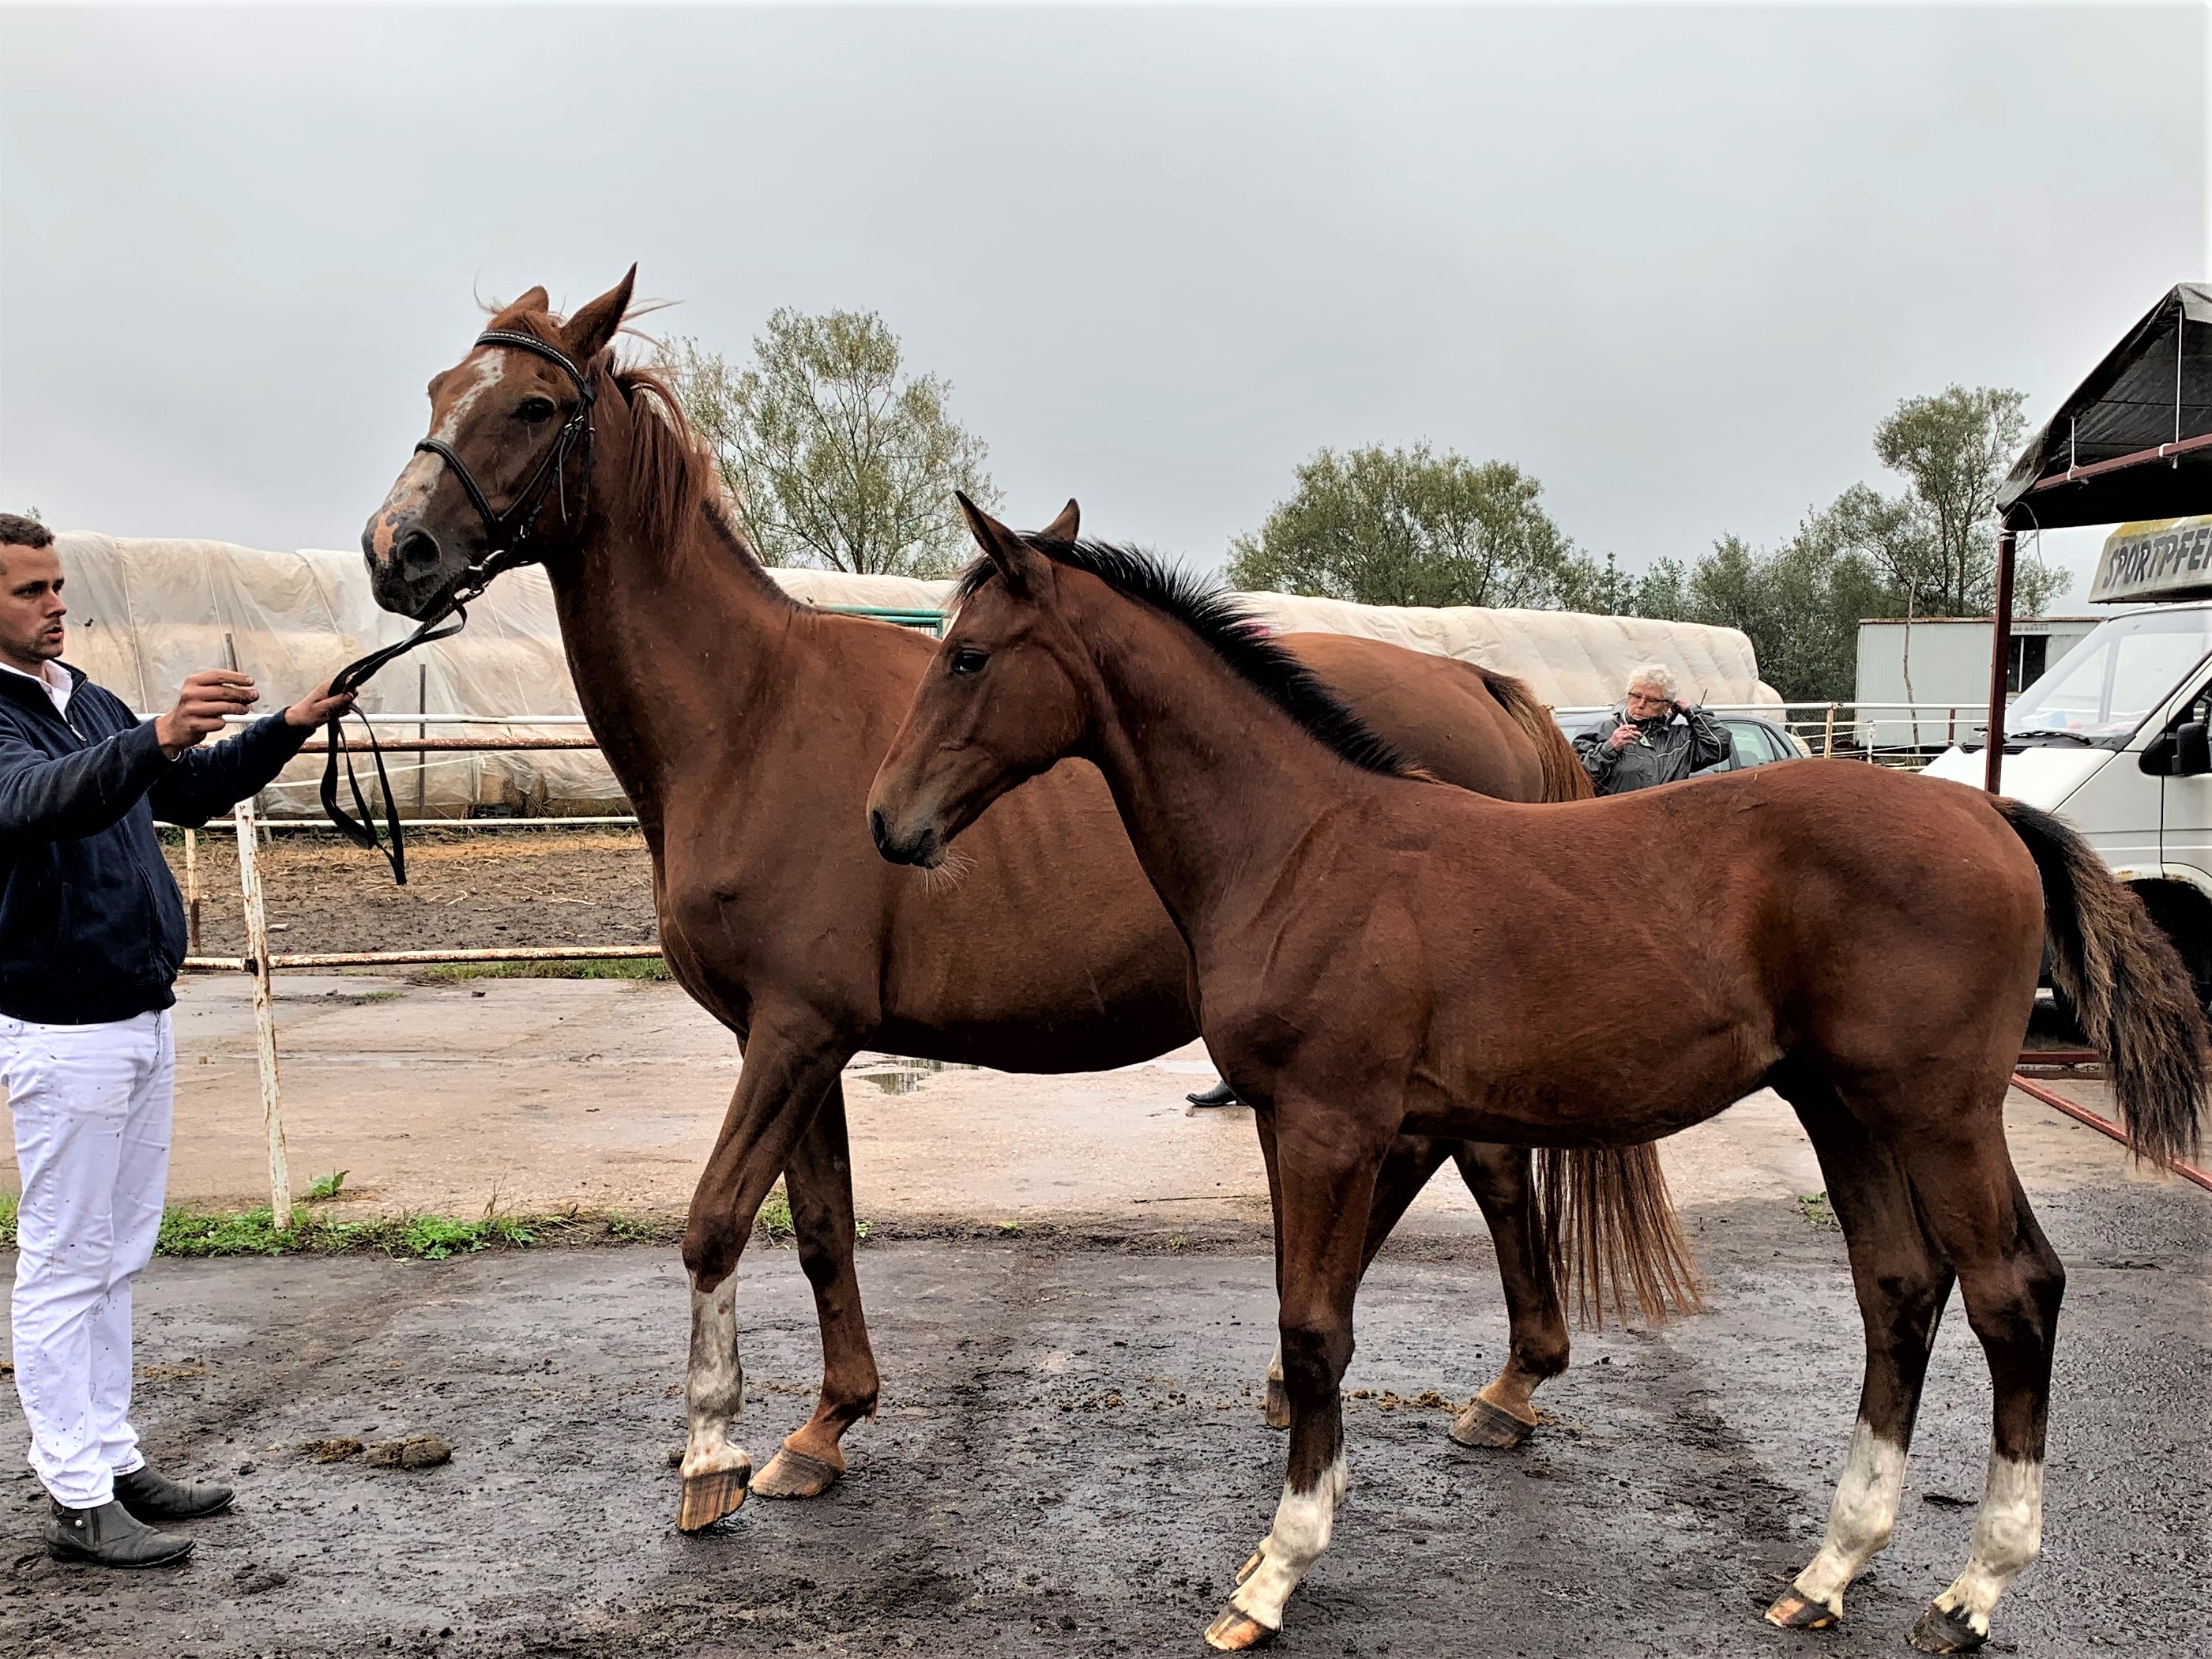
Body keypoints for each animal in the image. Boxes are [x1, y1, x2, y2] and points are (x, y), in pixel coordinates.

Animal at [354, 273, 1681, 1530]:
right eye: (434, 391)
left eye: (535, 406)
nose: (395, 551)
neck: (746, 719)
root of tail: (1483, 682)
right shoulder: (795, 1039)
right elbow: (823, 1230)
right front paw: (826, 1428)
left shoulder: (791, 1032)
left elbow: (716, 1223)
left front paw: (715, 1456)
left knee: (1482, 1168)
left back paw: (1499, 1388)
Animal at [871, 510, 2203, 1659]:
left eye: (972, 656)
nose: (889, 825)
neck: (1302, 851)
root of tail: (1993, 818)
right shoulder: (1335, 1125)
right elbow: (1322, 1314)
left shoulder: (1327, 1124)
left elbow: (1314, 1329)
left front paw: (1274, 1574)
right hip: (1843, 1107)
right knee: (1899, 1290)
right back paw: (1827, 1571)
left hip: (1940, 1111)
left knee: (2013, 1293)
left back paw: (1971, 1589)